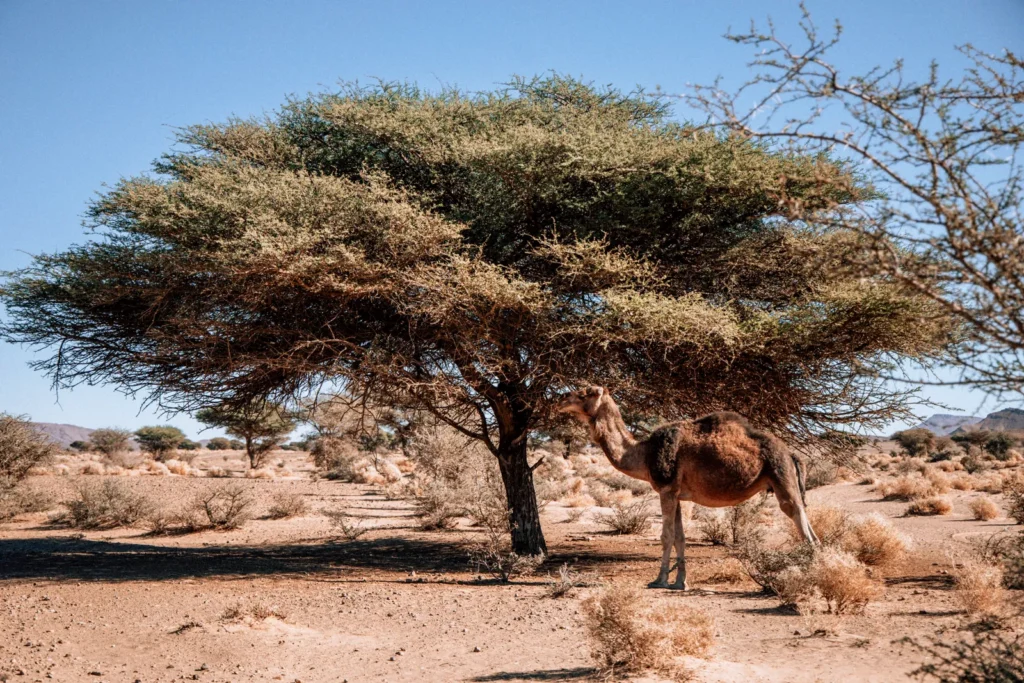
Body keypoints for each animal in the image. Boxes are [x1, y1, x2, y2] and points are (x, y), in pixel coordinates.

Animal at [557, 386, 819, 589]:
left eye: (586, 392)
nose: (562, 398)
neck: (643, 454)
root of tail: (791, 454)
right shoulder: (677, 493)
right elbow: (680, 537)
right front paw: (680, 582)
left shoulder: (666, 490)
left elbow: (666, 536)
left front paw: (659, 580)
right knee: (808, 525)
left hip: (781, 474)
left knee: (801, 523)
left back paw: (811, 575)